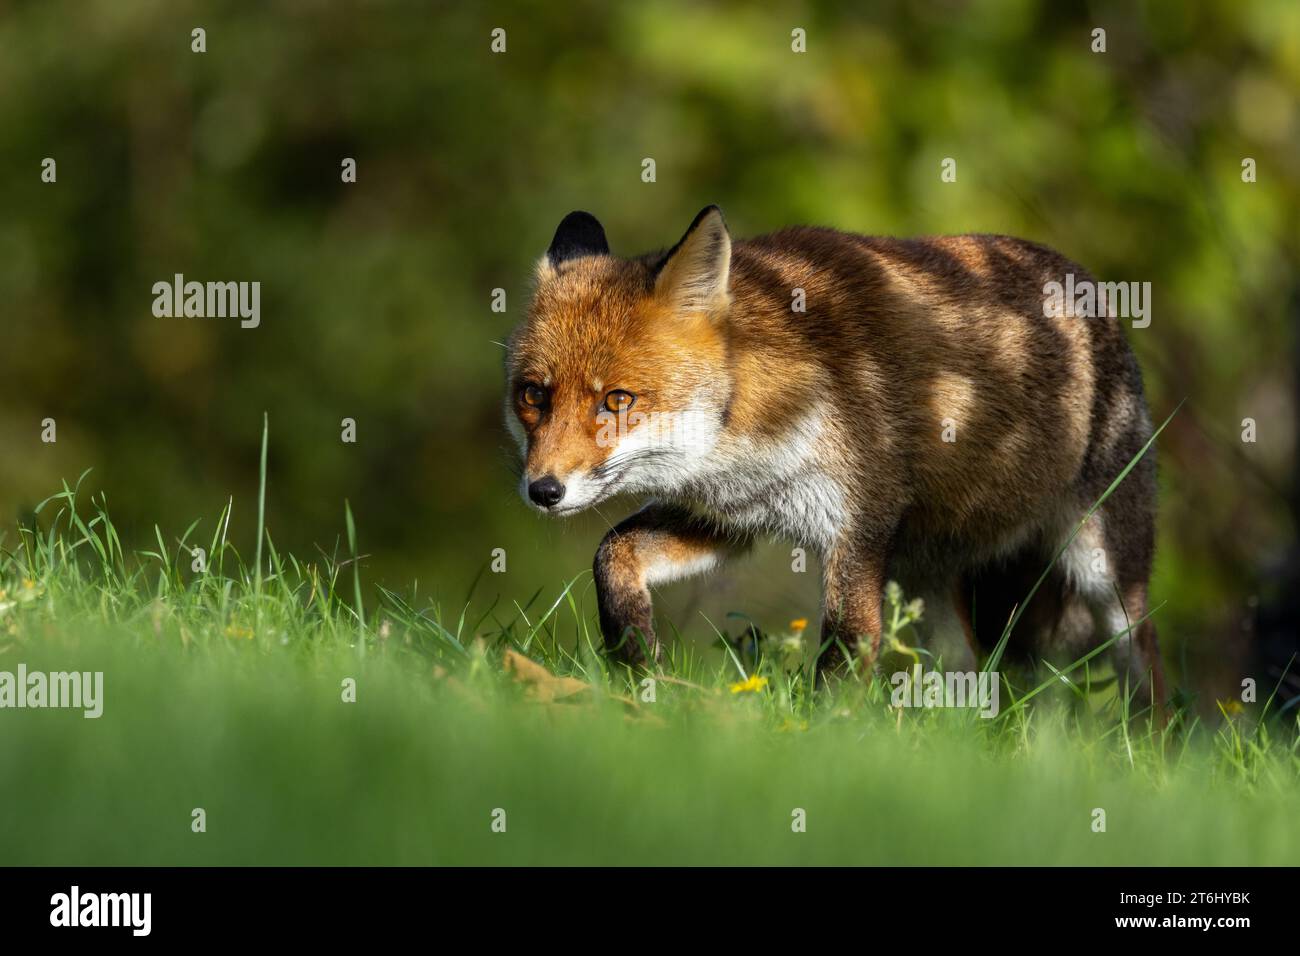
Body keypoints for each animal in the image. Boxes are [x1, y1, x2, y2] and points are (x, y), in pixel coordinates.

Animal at [504, 205, 1166, 709]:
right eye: (533, 395)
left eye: (618, 399)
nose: (543, 491)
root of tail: (1087, 283)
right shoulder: (728, 520)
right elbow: (610, 552)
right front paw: (636, 659)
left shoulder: (857, 529)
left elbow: (843, 655)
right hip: (924, 581)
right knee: (971, 679)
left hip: (1106, 571)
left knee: (1150, 675)